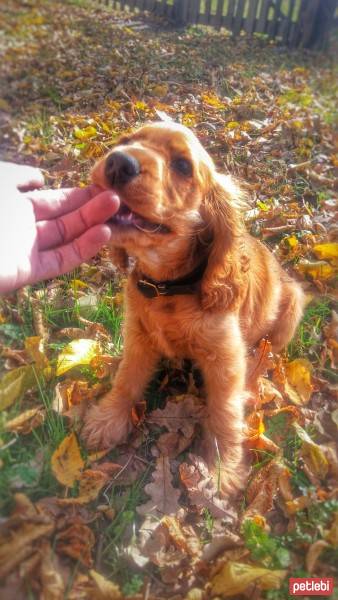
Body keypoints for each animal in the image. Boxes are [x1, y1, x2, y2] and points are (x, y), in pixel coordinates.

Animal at [81, 120, 304, 492]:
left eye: (183, 166)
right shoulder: (137, 336)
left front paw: (223, 468)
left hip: (292, 308)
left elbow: (224, 411)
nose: (118, 162)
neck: (166, 290)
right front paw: (107, 419)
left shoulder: (225, 359)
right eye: (126, 140)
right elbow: (127, 379)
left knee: (268, 355)